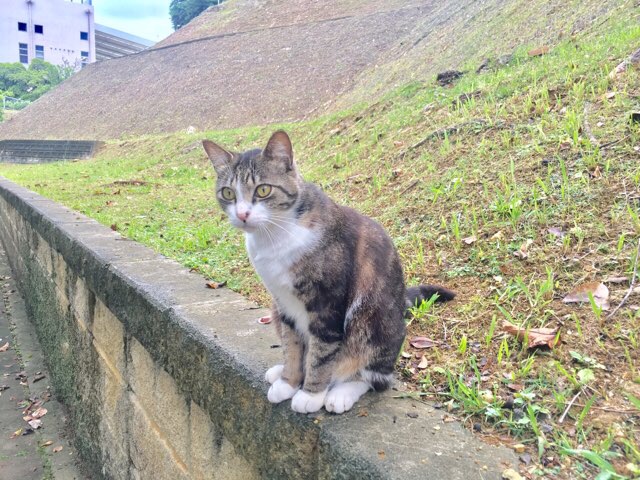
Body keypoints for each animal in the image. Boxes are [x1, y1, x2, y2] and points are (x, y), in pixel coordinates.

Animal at [202, 131, 454, 414]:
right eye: (227, 193)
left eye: (263, 190)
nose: (242, 214)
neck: (276, 237)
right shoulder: (283, 303)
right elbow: (292, 345)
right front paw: (288, 382)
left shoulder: (328, 302)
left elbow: (321, 352)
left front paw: (311, 394)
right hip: (276, 311)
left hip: (374, 321)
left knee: (374, 377)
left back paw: (341, 392)